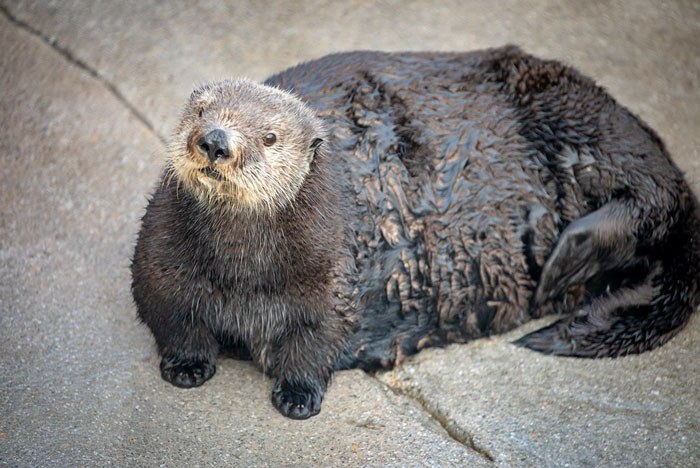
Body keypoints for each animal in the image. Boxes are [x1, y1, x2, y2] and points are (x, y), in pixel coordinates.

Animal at [131, 46, 700, 419]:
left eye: (269, 137)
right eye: (200, 111)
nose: (214, 140)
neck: (243, 272)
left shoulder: (331, 275)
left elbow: (317, 339)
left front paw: (298, 396)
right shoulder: (160, 257)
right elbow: (171, 315)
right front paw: (186, 367)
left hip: (578, 115)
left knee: (659, 195)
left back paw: (567, 258)